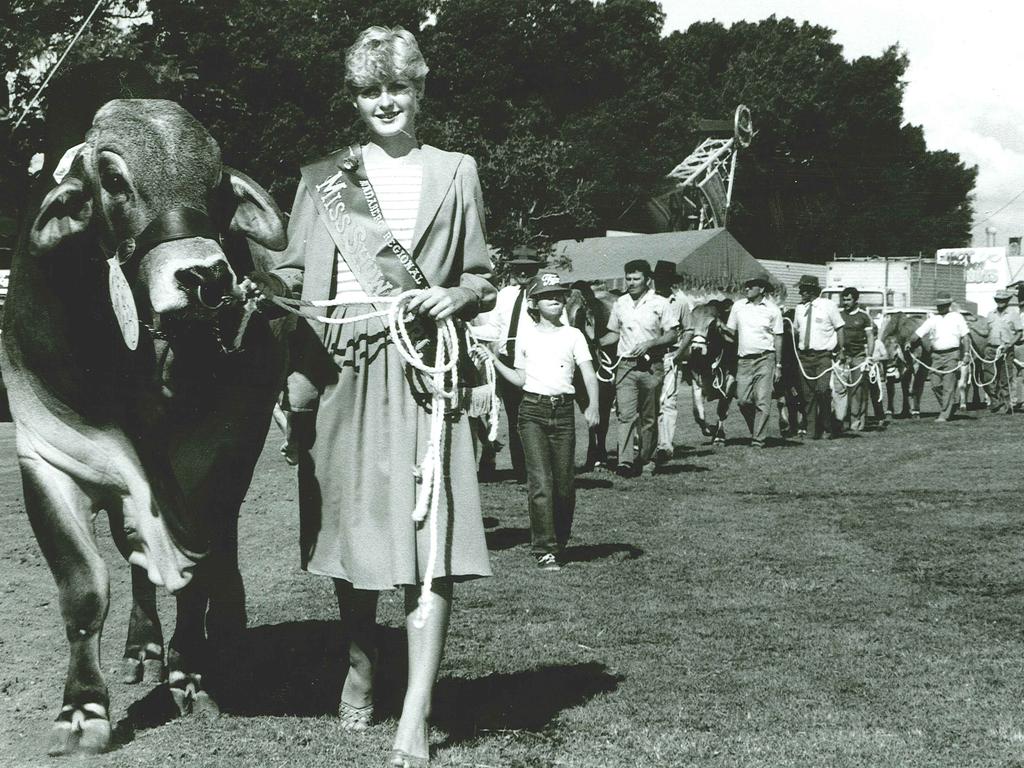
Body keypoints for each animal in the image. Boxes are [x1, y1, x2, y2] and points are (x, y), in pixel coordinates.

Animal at [1, 100, 288, 757]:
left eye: (218, 184)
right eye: (112, 179)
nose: (206, 278)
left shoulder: (219, 455)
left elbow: (198, 568)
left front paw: (189, 675)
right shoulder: (48, 455)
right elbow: (84, 586)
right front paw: (82, 710)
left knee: (219, 547)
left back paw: (222, 631)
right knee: (134, 556)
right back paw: (142, 648)